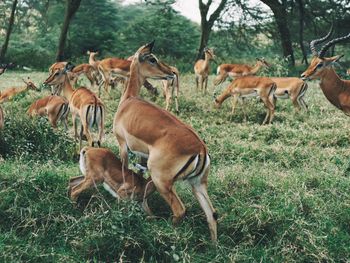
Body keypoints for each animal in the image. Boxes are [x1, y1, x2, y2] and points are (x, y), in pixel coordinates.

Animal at [113, 41, 217, 243]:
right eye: (152, 59)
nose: (171, 72)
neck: (128, 101)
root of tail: (200, 148)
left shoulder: (123, 146)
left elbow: (124, 171)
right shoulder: (142, 156)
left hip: (162, 181)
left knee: (180, 210)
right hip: (198, 184)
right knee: (212, 214)